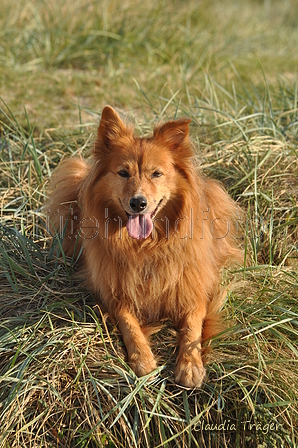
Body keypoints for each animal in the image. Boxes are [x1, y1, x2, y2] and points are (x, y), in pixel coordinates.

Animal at [46, 107, 242, 386]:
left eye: (156, 173)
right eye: (123, 173)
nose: (138, 203)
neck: (147, 246)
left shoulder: (194, 290)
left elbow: (192, 328)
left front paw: (190, 364)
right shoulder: (114, 292)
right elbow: (129, 324)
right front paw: (142, 358)